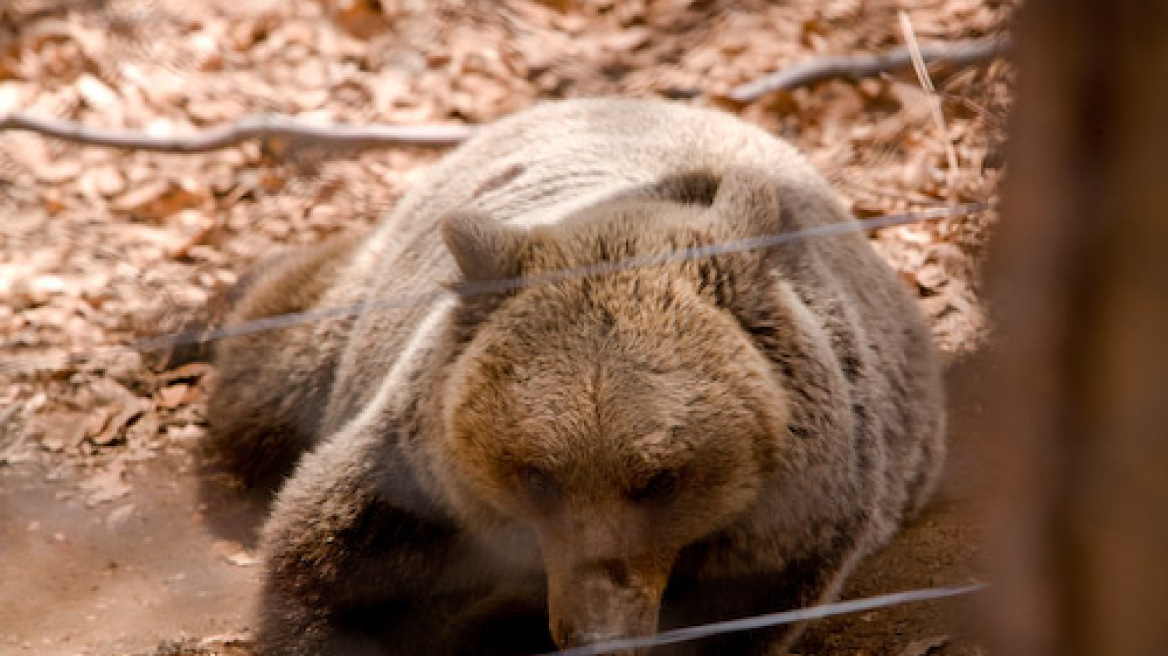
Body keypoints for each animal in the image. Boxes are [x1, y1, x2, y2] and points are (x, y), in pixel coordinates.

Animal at [205, 96, 943, 653]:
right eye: (537, 475)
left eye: (661, 479)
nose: (597, 635)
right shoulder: (418, 476)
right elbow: (329, 563)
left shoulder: (788, 524)